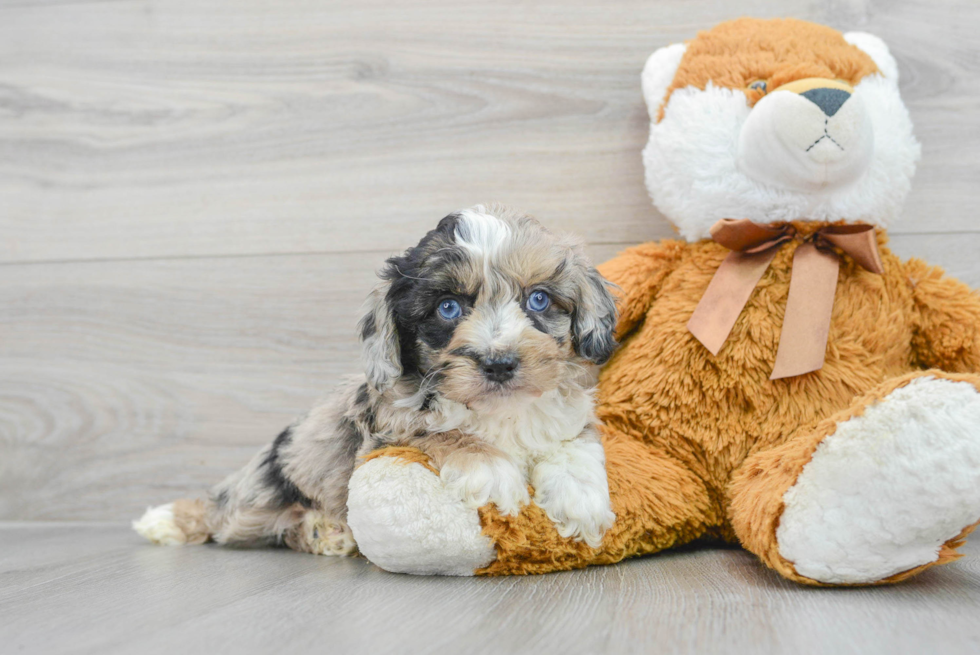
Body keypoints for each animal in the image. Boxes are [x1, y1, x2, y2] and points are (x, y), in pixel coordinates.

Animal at [134, 206, 616, 560]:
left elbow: (573, 443)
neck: (499, 409)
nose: (499, 364)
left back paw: (324, 533)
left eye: (539, 299)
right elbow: (441, 432)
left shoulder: (566, 414)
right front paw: (494, 473)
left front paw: (582, 502)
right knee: (219, 512)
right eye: (447, 308)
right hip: (259, 493)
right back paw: (165, 521)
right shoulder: (385, 427)